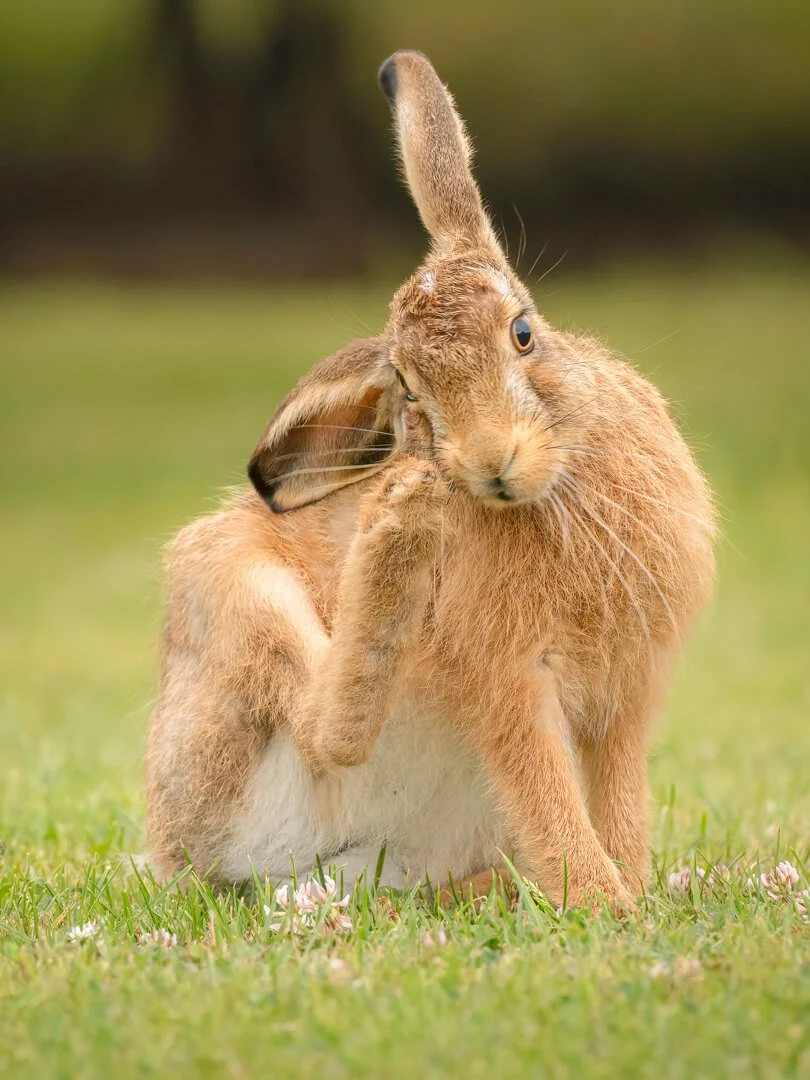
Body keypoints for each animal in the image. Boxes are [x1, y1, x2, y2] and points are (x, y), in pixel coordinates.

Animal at [146, 50, 715, 909]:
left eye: (523, 332)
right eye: (411, 392)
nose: (488, 459)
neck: (551, 496)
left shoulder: (624, 697)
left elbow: (616, 804)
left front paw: (630, 894)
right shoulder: (512, 684)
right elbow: (548, 793)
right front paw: (605, 903)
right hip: (231, 599)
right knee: (324, 731)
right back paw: (395, 535)